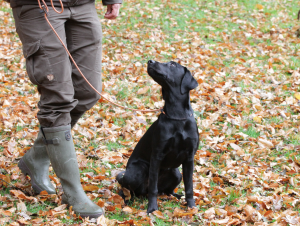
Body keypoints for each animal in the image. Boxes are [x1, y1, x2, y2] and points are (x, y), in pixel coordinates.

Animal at [117, 60, 199, 214]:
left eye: (172, 65)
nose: (150, 61)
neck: (177, 116)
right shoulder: (157, 155)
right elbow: (153, 189)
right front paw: (152, 208)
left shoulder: (189, 158)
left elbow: (189, 186)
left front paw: (191, 207)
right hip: (136, 172)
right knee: (128, 188)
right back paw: (126, 199)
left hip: (176, 173)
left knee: (166, 191)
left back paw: (177, 196)